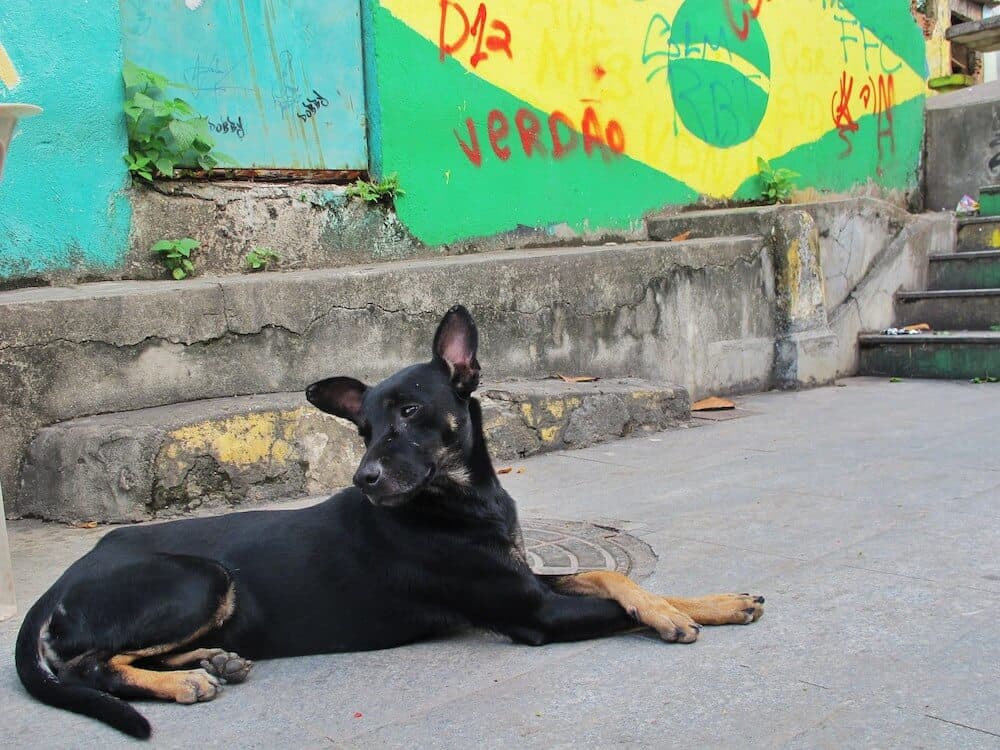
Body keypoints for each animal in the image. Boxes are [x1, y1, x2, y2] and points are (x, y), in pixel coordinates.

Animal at [13, 306, 764, 740]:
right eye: (364, 428)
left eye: (409, 412)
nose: (363, 481)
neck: (459, 499)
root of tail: (60, 581)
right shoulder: (532, 614)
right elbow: (623, 602)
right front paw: (671, 619)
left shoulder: (529, 577)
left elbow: (622, 580)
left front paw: (714, 602)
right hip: (199, 578)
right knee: (90, 664)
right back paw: (181, 682)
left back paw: (210, 661)